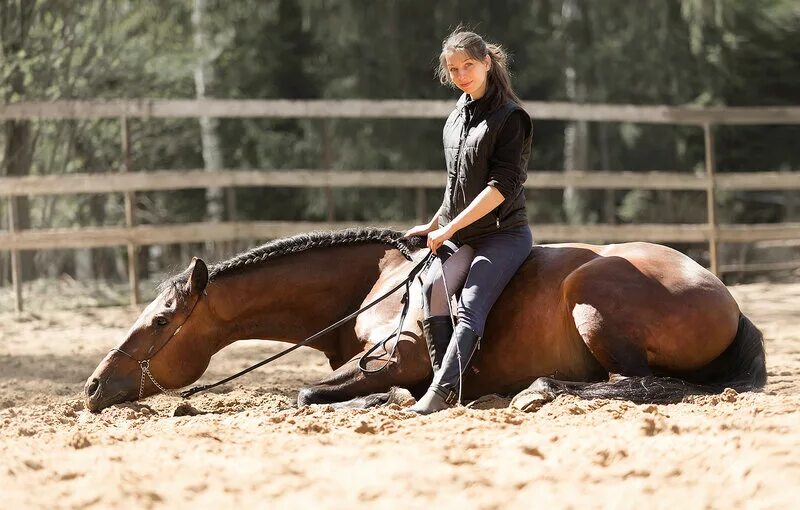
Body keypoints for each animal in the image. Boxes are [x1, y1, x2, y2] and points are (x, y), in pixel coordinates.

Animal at [84, 229, 764, 412]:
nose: (92, 386)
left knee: (640, 384)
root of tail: (726, 297)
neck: (372, 285)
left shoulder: (405, 355)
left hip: (591, 294)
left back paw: (539, 390)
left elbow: (307, 393)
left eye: (159, 321)